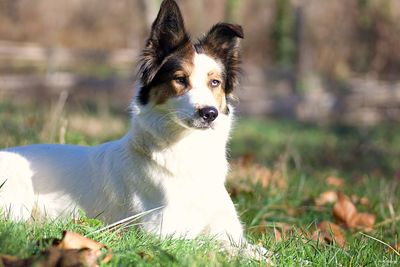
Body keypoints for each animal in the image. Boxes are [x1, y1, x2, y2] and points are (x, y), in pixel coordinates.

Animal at [0, 0, 268, 260]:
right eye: (180, 79)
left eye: (215, 83)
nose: (210, 114)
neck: (187, 150)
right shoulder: (160, 232)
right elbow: (210, 244)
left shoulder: (229, 231)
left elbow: (252, 248)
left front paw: (259, 255)